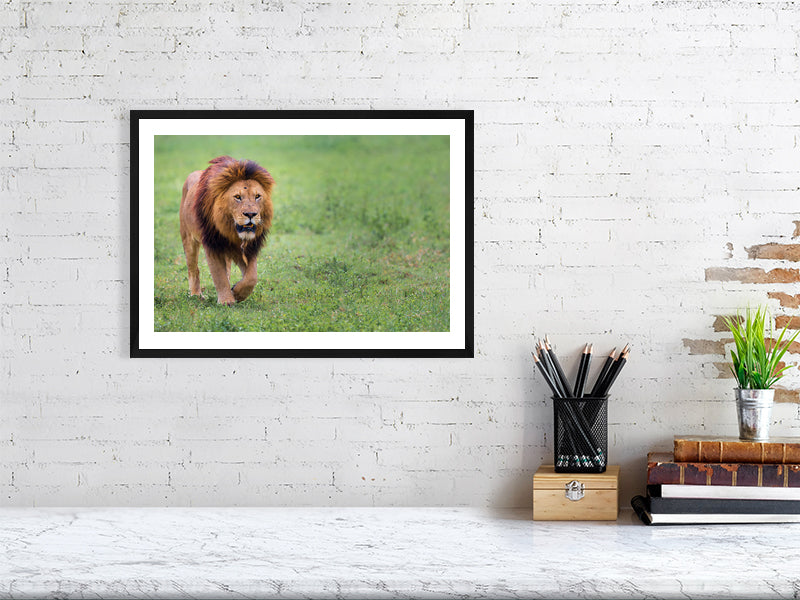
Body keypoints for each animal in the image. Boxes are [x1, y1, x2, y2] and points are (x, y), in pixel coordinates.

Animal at [179, 156, 274, 306]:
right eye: (237, 197)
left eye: (257, 196)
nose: (251, 214)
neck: (232, 233)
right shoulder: (212, 246)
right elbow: (219, 275)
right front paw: (226, 301)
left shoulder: (248, 249)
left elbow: (252, 277)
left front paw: (237, 293)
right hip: (188, 239)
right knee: (193, 269)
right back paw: (195, 294)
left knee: (227, 269)